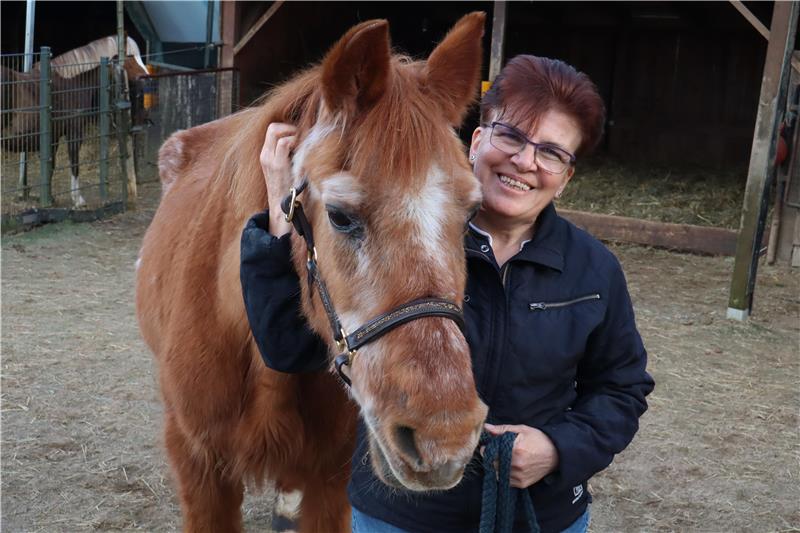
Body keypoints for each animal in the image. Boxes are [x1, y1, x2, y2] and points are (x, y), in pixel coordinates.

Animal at [1, 36, 147, 207]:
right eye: (130, 58)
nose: (147, 75)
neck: (71, 85)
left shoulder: (53, 138)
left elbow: (50, 167)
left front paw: (49, 199)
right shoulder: (74, 133)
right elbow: (74, 164)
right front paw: (77, 199)